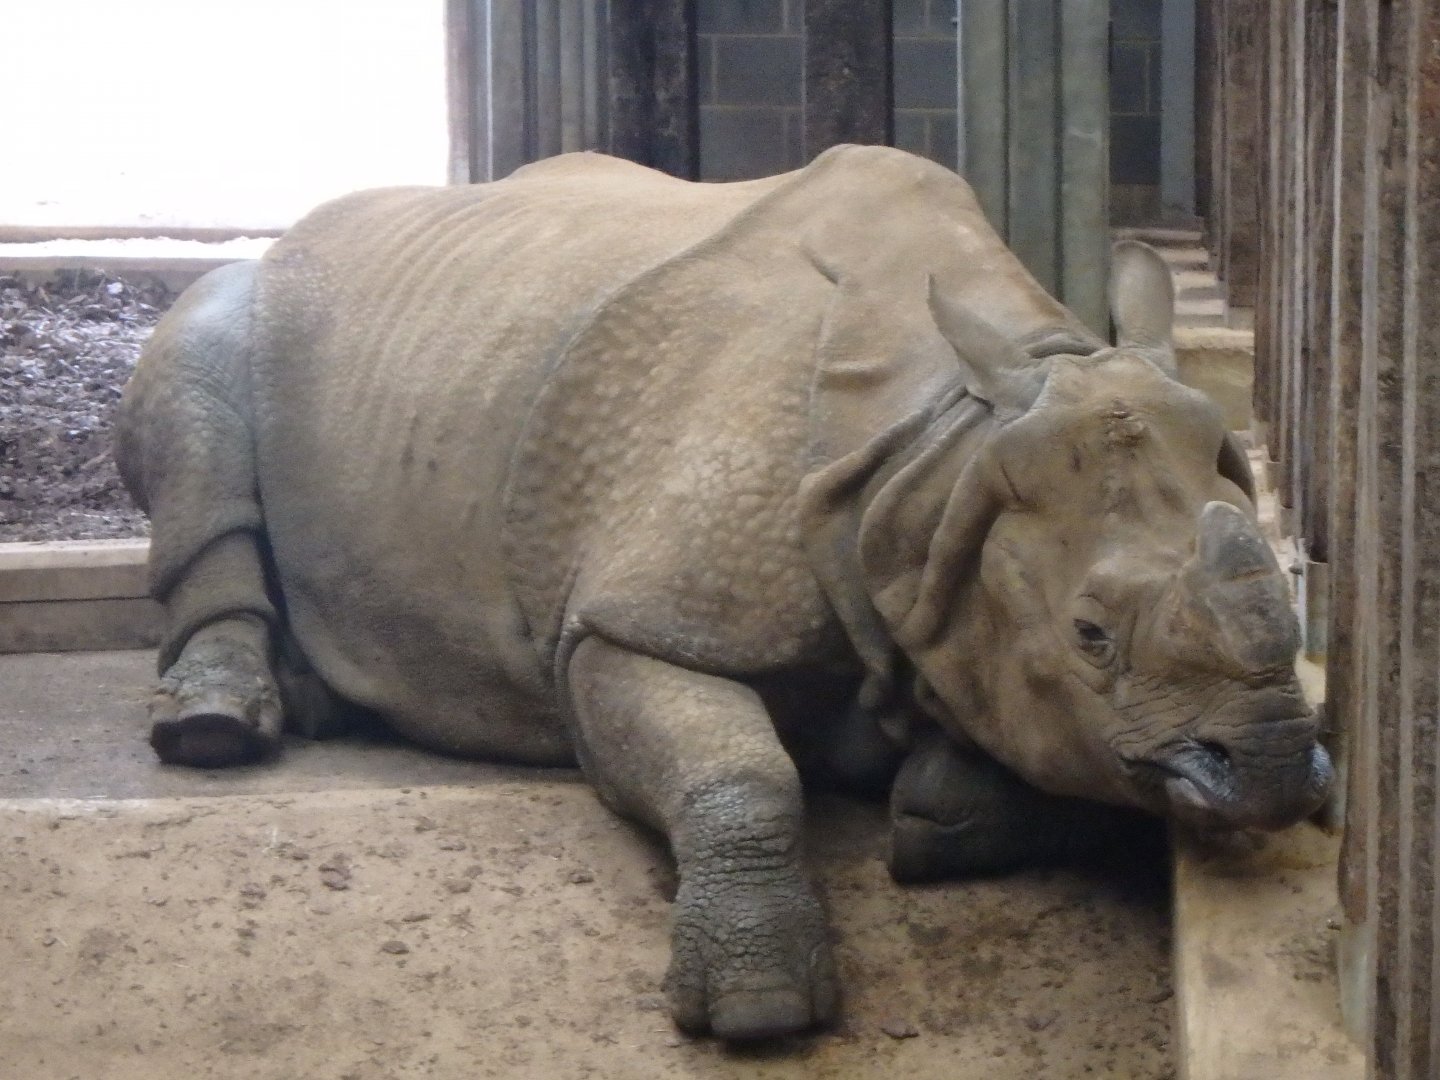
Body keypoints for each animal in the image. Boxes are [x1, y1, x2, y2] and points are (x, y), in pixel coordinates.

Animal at [117, 145, 1331, 1040]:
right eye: (1087, 634)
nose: (1276, 765)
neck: (934, 467)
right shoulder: (628, 623)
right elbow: (737, 770)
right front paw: (759, 1004)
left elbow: (1064, 757)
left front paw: (939, 803)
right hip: (255, 292)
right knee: (197, 374)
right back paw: (219, 731)